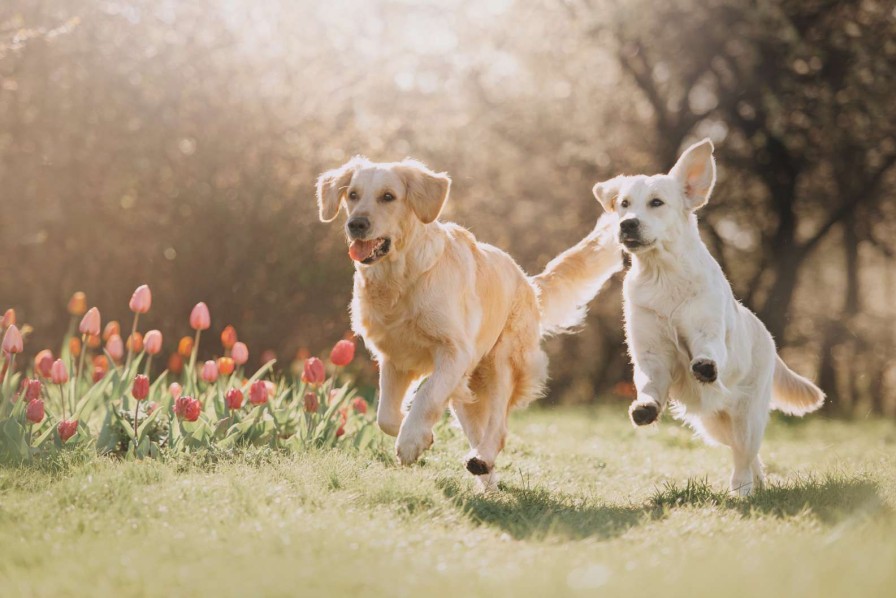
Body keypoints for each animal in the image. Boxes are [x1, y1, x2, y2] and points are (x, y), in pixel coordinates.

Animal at [316, 157, 624, 490]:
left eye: (388, 196)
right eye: (353, 195)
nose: (356, 224)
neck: (403, 276)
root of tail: (528, 281)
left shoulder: (455, 352)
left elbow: (426, 395)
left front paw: (410, 442)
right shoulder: (395, 358)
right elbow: (385, 416)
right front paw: (419, 435)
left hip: (501, 362)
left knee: (498, 429)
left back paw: (482, 459)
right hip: (466, 392)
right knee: (479, 431)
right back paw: (486, 480)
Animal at [592, 139, 824, 496]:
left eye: (656, 202)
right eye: (624, 204)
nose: (627, 223)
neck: (663, 275)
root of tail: (768, 337)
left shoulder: (708, 332)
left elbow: (707, 351)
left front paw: (703, 366)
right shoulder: (650, 351)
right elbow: (648, 381)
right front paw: (645, 408)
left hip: (746, 416)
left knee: (744, 454)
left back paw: (743, 490)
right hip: (714, 423)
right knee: (749, 455)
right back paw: (757, 483)